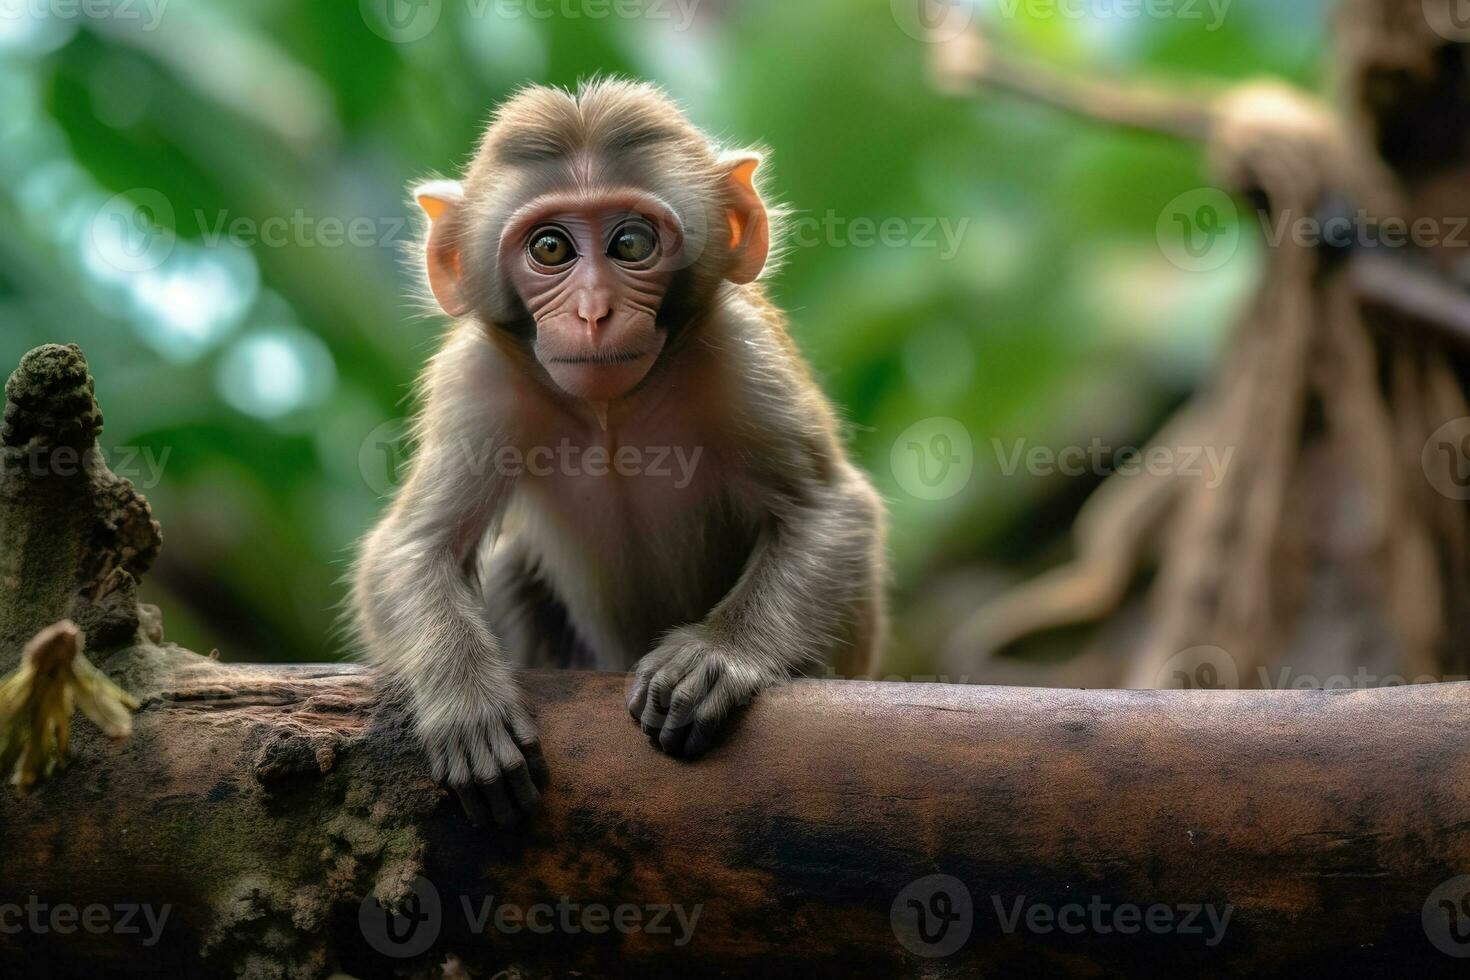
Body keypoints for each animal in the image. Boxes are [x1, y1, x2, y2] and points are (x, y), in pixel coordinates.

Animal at [355, 78, 882, 828]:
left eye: (631, 242)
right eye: (550, 249)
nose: (594, 311)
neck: (612, 411)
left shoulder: (740, 352)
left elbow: (829, 511)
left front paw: (716, 657)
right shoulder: (476, 381)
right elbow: (412, 546)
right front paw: (466, 708)